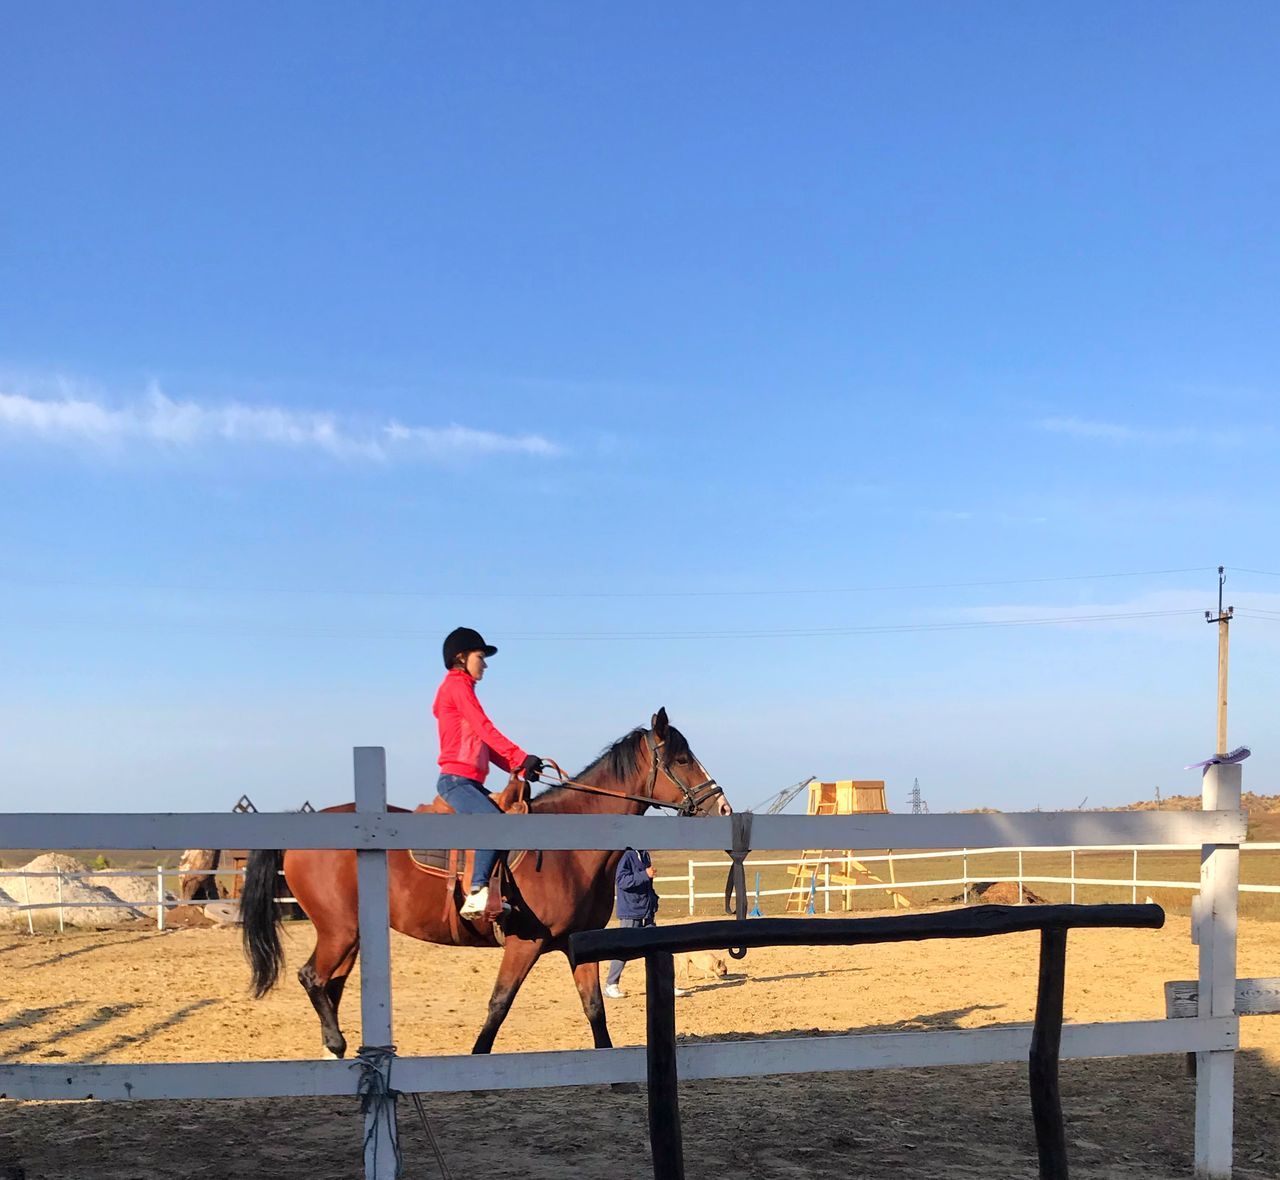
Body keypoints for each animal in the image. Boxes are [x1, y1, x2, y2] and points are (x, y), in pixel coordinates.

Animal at [235, 706, 727, 1059]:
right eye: (681, 759)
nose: (721, 807)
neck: (566, 848)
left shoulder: (577, 942)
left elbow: (593, 1007)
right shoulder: (524, 944)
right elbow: (499, 1004)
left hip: (350, 935)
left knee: (329, 985)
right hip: (338, 931)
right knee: (313, 978)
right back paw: (336, 1046)